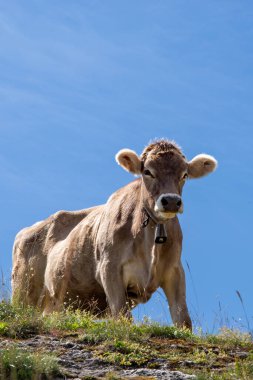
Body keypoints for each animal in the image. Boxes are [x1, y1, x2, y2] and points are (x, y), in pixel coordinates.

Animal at [11, 140, 216, 330]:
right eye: (147, 172)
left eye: (184, 175)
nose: (171, 201)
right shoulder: (109, 267)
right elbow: (123, 316)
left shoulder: (175, 270)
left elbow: (183, 319)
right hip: (24, 291)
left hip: (54, 302)